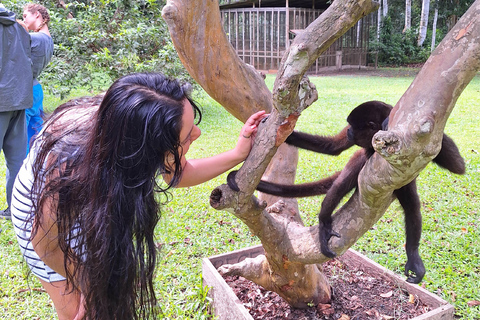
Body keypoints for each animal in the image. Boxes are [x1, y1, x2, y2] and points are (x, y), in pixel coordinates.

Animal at [229, 101, 464, 284]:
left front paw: (388, 120)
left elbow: (457, 166)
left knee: (411, 206)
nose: (349, 130)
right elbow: (332, 146)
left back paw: (413, 255)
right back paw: (324, 222)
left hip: (403, 181)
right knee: (343, 181)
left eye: (353, 125)